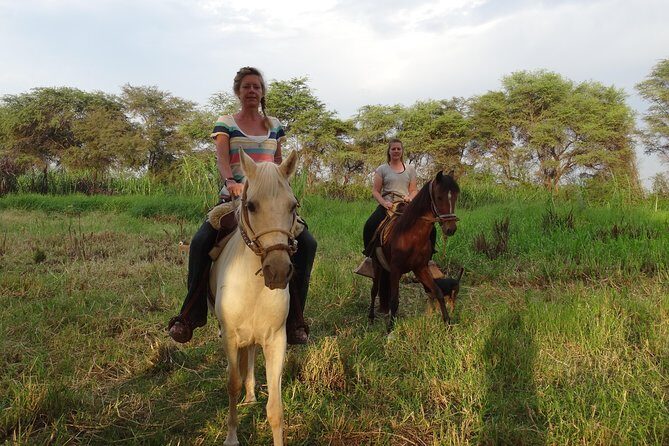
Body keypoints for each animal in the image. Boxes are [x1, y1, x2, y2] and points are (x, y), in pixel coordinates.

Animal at [209, 149, 299, 446]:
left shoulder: (276, 339)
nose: (278, 271)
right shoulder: (230, 335)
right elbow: (232, 384)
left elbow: (276, 407)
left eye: (293, 206)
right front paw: (231, 437)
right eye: (251, 206)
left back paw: (250, 396)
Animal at [368, 170, 460, 332]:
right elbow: (394, 300)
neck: (411, 234)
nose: (451, 229)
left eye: (455, 196)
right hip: (376, 263)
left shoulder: (420, 268)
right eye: (439, 197)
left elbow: (437, 292)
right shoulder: (396, 269)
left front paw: (447, 322)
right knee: (374, 290)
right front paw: (390, 328)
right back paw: (371, 318)